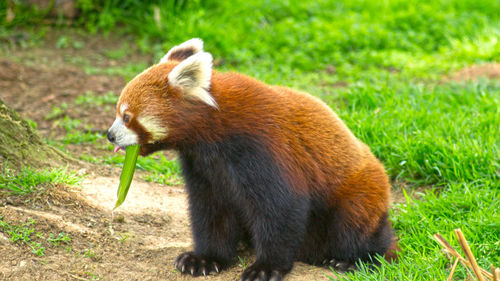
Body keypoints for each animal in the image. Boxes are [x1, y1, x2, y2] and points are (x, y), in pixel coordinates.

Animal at [106, 38, 398, 280]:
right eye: (118, 112)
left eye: (127, 117)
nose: (109, 135)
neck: (213, 134)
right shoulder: (203, 166)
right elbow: (210, 210)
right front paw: (205, 259)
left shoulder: (263, 149)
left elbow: (282, 208)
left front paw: (266, 267)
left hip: (358, 195)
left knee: (354, 227)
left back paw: (357, 260)